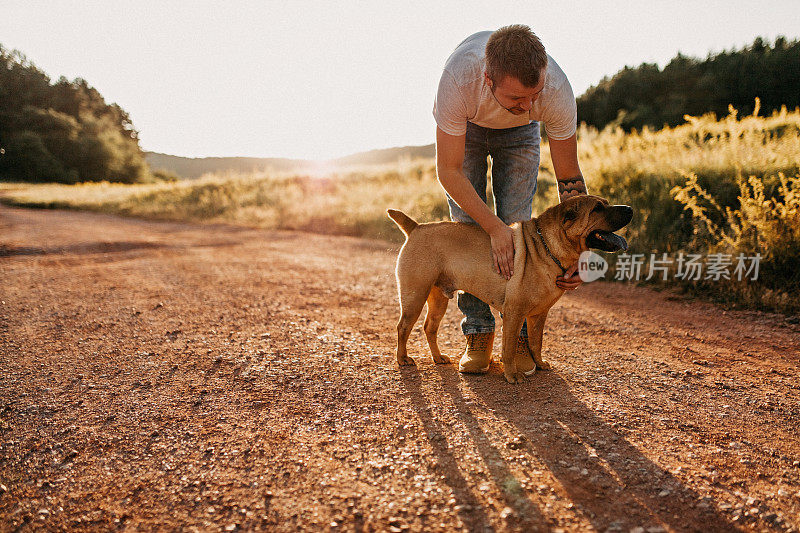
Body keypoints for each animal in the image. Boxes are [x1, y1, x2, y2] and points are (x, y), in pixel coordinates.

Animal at [388, 195, 632, 382]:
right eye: (598, 208)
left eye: (605, 203)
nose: (630, 208)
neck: (547, 248)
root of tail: (416, 227)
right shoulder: (514, 313)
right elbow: (508, 348)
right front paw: (512, 374)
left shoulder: (538, 316)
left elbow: (536, 343)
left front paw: (539, 363)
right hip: (414, 296)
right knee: (403, 328)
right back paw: (403, 359)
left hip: (438, 299)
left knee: (429, 328)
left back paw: (438, 357)